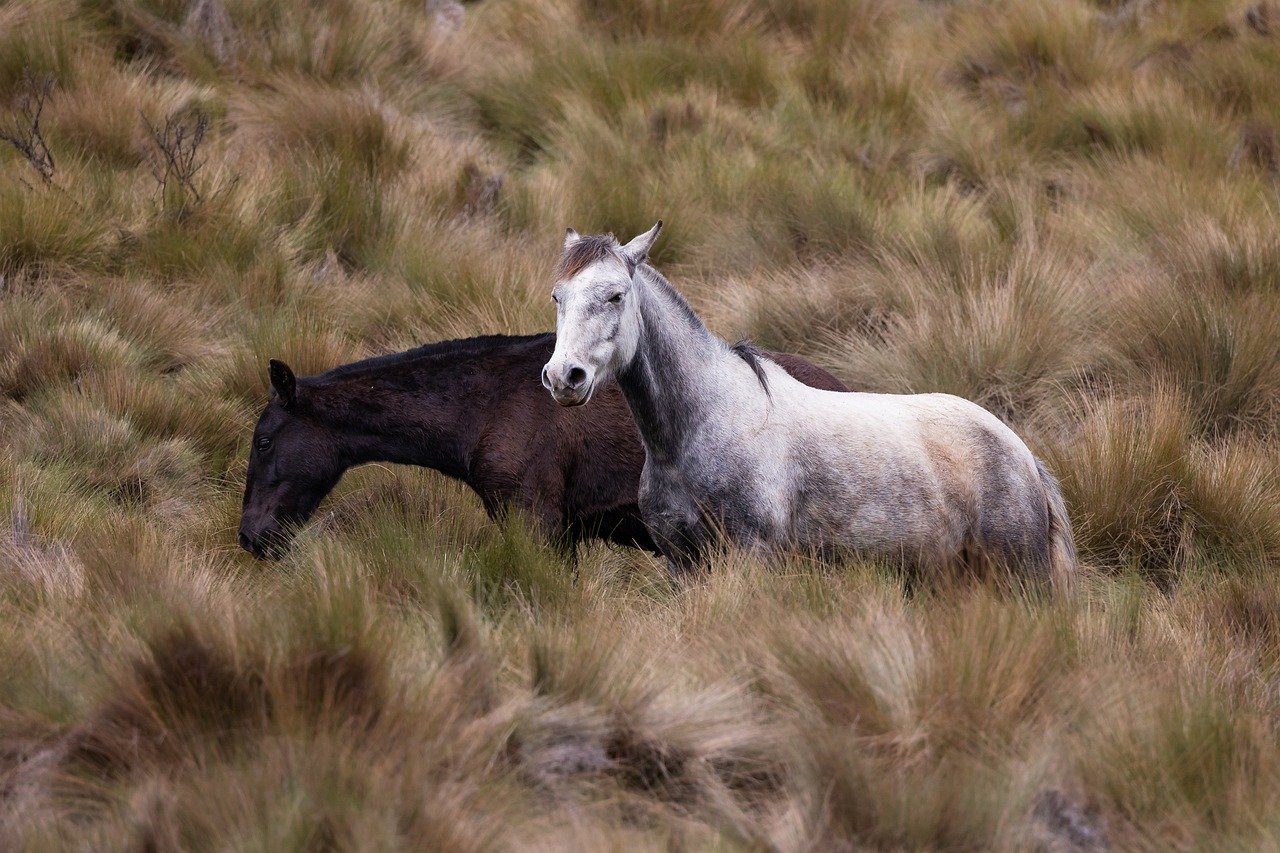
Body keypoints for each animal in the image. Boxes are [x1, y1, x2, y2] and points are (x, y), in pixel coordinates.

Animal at [542, 222, 1080, 589]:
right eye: (557, 296)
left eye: (616, 295)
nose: (564, 377)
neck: (704, 426)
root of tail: (1021, 452)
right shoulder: (682, 564)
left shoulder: (752, 557)